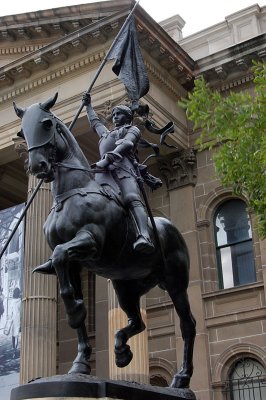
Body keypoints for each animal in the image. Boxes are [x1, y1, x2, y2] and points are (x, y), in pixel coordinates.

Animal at [13, 93, 195, 388]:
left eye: (46, 123)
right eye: (21, 132)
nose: (37, 167)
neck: (72, 191)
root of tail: (170, 225)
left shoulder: (90, 244)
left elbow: (62, 256)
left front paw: (75, 311)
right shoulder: (75, 265)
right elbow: (71, 298)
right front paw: (80, 362)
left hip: (176, 282)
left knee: (187, 324)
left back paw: (181, 378)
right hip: (126, 285)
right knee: (137, 322)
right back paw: (121, 351)